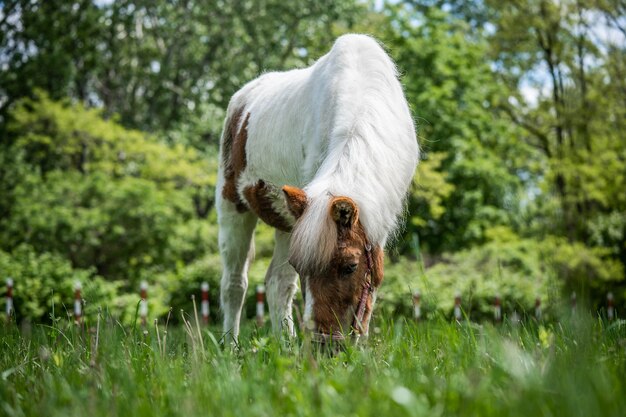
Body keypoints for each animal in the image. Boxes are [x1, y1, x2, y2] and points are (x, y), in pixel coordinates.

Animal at [217, 33, 416, 342]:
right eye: (302, 268)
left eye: (350, 266)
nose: (323, 343)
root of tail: (242, 99)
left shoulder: (377, 222)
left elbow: (369, 294)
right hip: (232, 207)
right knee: (234, 284)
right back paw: (231, 346)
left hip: (287, 221)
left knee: (276, 284)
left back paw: (285, 344)